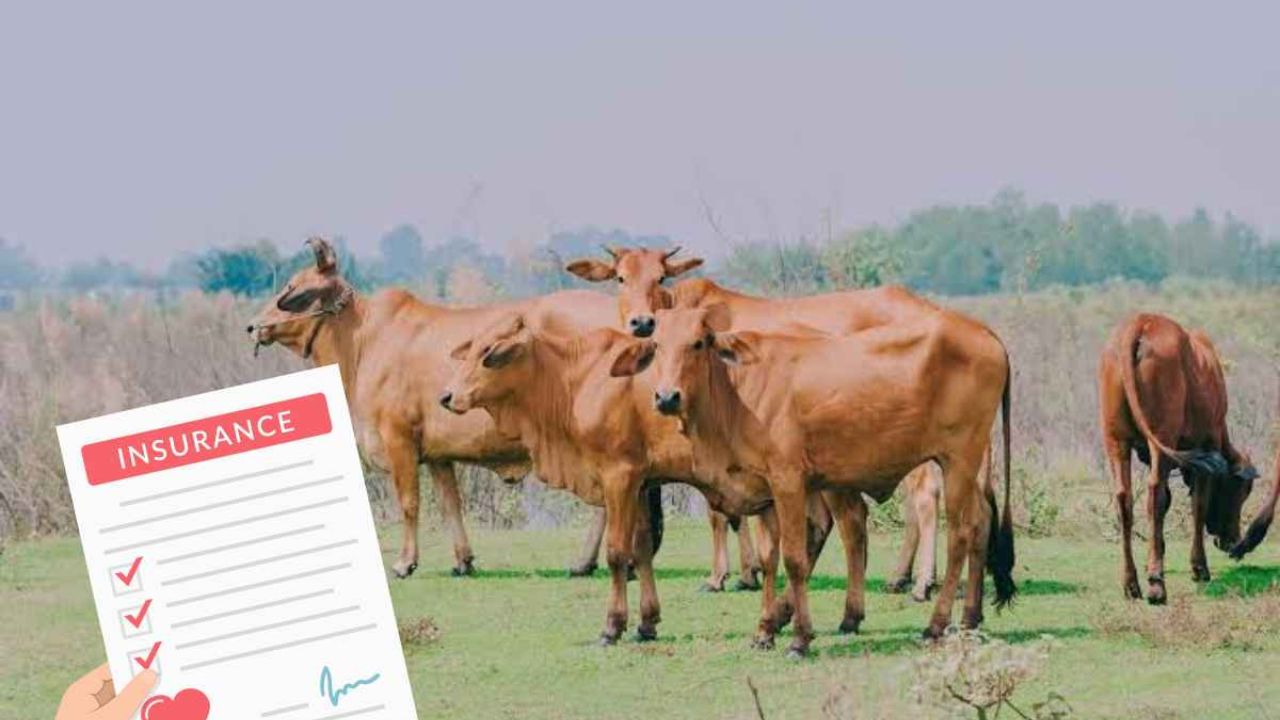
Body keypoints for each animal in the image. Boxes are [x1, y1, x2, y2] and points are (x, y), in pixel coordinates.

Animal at [246, 237, 624, 579]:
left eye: (295, 289)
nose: (252, 326)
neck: (361, 341)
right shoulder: (438, 454)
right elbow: (449, 505)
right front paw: (463, 561)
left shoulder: (398, 438)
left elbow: (409, 502)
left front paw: (404, 563)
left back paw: (587, 562)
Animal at [439, 315, 862, 645]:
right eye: (471, 348)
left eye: (488, 353)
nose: (446, 396)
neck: (575, 378)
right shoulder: (643, 482)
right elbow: (641, 548)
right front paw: (647, 622)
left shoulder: (619, 475)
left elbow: (616, 552)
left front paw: (612, 627)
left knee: (842, 529)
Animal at [615, 305, 1015, 655]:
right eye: (657, 345)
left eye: (698, 343)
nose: (667, 397)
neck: (738, 392)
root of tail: (985, 332)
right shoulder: (765, 493)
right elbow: (769, 558)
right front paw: (765, 631)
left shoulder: (788, 483)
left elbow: (793, 559)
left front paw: (799, 639)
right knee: (980, 524)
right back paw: (970, 619)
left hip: (958, 460)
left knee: (960, 534)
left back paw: (935, 624)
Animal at [1098, 313, 1259, 603]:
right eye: (1242, 491)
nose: (1232, 541)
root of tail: (1140, 322)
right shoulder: (1206, 450)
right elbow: (1198, 506)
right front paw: (1199, 567)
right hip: (1161, 440)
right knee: (1155, 495)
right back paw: (1156, 584)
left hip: (1115, 441)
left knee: (1124, 498)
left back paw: (1131, 583)